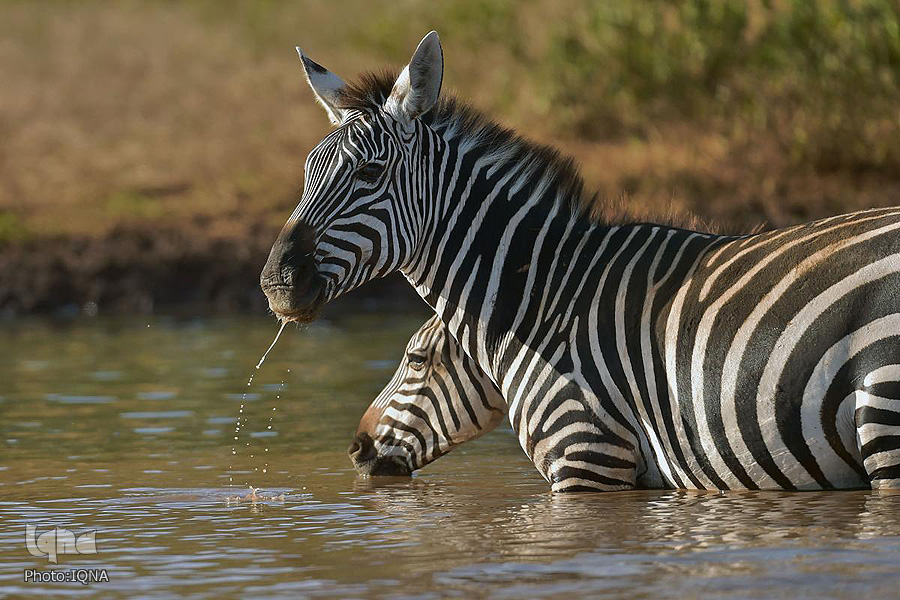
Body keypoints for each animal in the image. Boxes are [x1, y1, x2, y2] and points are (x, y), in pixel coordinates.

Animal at [262, 31, 900, 492]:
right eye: (306, 172)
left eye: (370, 173)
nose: (275, 284)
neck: (542, 298)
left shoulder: (587, 457)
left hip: (885, 418)